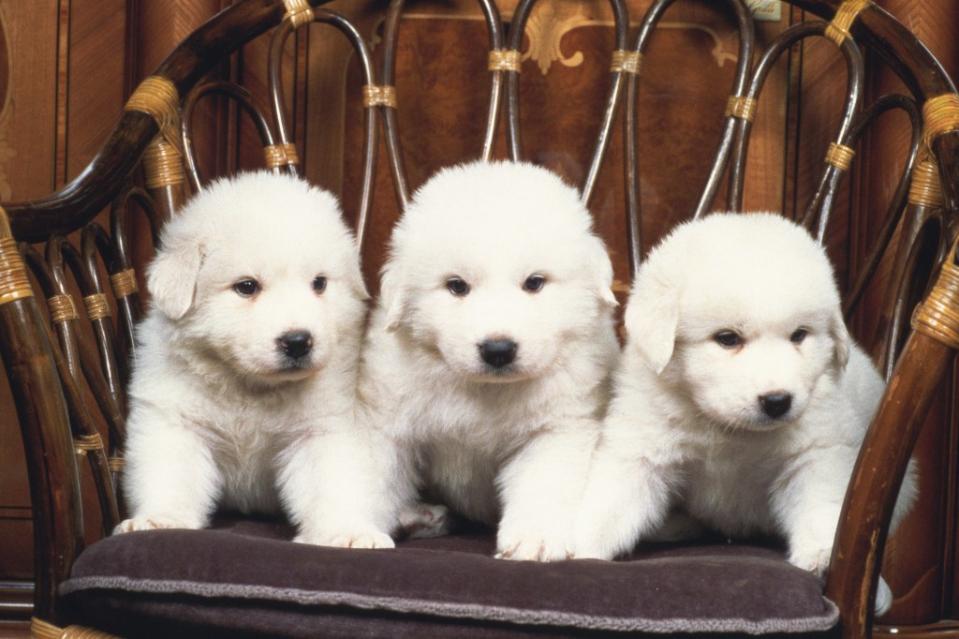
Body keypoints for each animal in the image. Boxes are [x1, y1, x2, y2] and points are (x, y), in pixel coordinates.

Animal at [115, 171, 394, 552]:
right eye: (246, 287)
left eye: (319, 283)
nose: (298, 341)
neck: (249, 386)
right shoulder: (174, 418)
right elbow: (171, 474)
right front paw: (160, 519)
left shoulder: (321, 428)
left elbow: (332, 482)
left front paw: (347, 533)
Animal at [360, 162, 624, 564]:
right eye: (456, 286)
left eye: (534, 283)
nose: (498, 349)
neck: (486, 389)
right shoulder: (388, 419)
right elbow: (369, 474)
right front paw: (351, 530)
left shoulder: (557, 428)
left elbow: (542, 483)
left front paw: (535, 541)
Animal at [572, 212, 920, 612]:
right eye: (727, 339)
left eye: (799, 335)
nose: (777, 401)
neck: (730, 430)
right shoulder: (642, 448)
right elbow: (610, 502)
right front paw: (575, 548)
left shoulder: (817, 452)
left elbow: (821, 502)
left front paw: (820, 554)